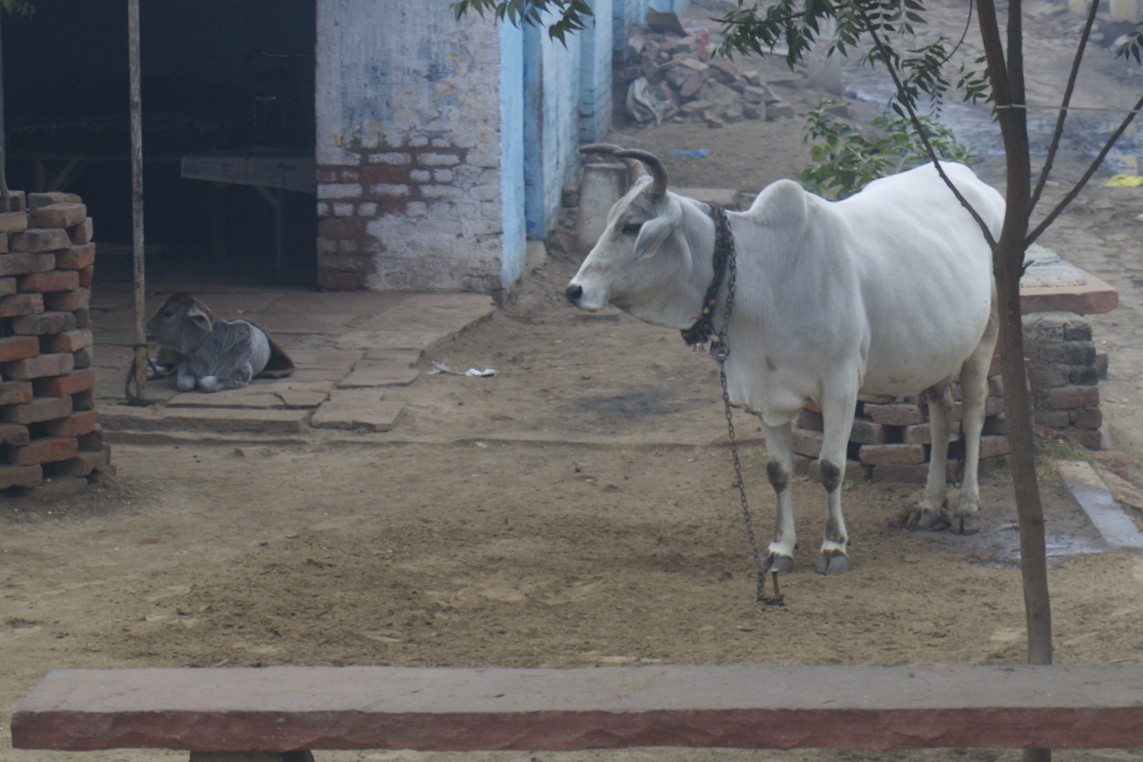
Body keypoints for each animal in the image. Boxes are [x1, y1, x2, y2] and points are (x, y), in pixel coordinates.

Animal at [145, 293, 273, 393]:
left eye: (168, 313)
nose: (145, 327)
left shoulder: (243, 373)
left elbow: (207, 383)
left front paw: (200, 381)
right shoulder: (185, 364)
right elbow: (185, 383)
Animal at [566, 145, 1003, 575]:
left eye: (632, 226)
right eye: (611, 219)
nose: (575, 290)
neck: (767, 277)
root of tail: (976, 184)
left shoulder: (841, 386)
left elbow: (831, 467)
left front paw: (833, 546)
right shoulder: (766, 396)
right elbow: (778, 473)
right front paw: (780, 549)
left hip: (985, 338)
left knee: (973, 415)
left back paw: (966, 508)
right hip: (938, 353)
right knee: (941, 413)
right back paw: (929, 506)